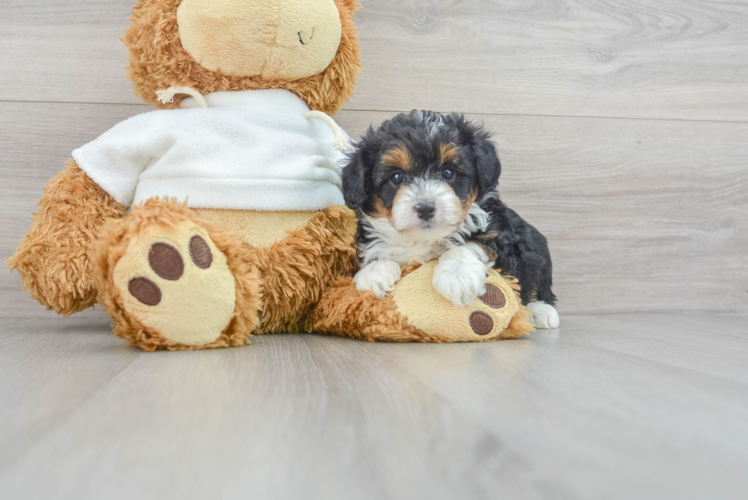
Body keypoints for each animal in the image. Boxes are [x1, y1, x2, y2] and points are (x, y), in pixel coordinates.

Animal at [342, 110, 560, 328]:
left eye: (448, 172)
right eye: (396, 177)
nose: (425, 208)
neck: (425, 239)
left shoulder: (501, 234)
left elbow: (474, 242)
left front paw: (457, 275)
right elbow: (377, 250)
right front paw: (374, 272)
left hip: (538, 250)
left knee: (537, 287)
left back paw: (542, 311)